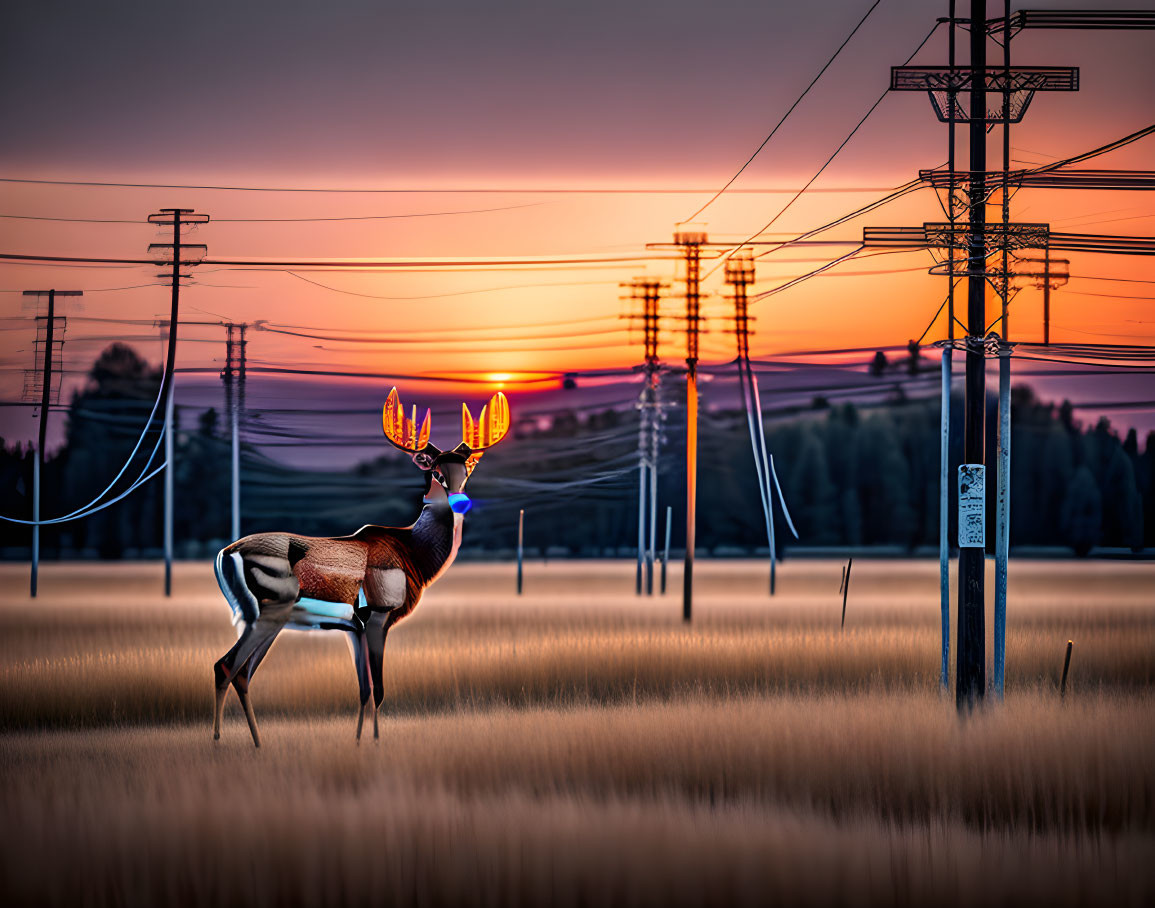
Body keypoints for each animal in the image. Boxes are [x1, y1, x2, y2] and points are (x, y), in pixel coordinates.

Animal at [212, 381, 510, 743]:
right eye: (436, 472)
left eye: (465, 471)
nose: (461, 501)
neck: (412, 552)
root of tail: (225, 554)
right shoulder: (378, 616)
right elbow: (378, 690)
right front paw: (375, 742)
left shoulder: (354, 628)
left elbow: (364, 690)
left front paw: (357, 742)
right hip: (268, 613)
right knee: (226, 666)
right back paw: (218, 742)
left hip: (268, 620)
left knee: (243, 673)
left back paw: (257, 744)